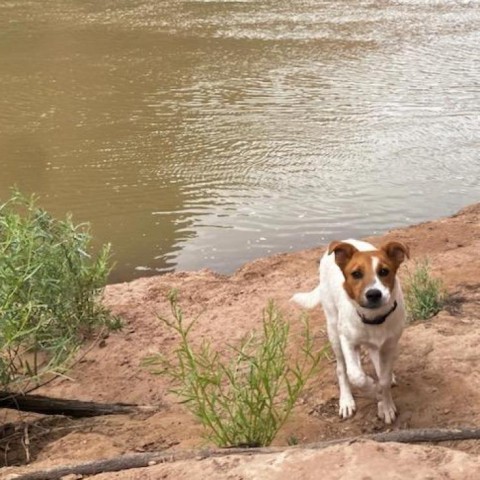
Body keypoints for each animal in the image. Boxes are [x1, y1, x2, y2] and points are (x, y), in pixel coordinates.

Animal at [292, 240, 408, 424]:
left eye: (384, 271)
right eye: (356, 274)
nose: (374, 294)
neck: (373, 319)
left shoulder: (389, 345)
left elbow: (384, 379)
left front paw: (386, 405)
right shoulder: (347, 341)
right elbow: (356, 375)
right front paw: (374, 390)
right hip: (334, 332)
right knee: (341, 369)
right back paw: (346, 400)